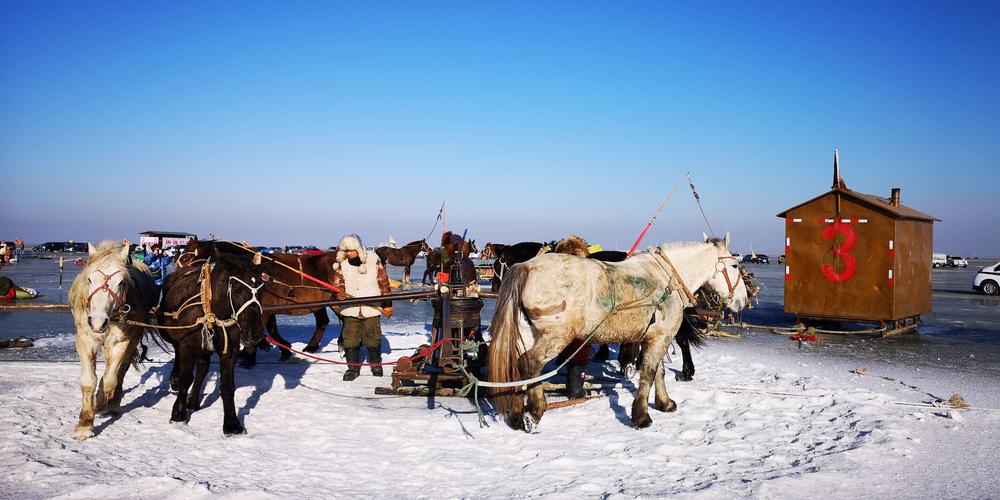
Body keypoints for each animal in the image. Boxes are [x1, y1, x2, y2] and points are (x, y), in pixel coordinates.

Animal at [70, 240, 158, 440]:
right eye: (90, 280)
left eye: (121, 282)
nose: (97, 322)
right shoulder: (85, 339)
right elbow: (88, 381)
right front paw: (85, 423)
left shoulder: (122, 341)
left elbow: (111, 379)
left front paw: (99, 402)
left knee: (121, 371)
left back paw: (113, 404)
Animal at [488, 234, 748, 430]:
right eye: (735, 265)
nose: (743, 300)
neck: (666, 278)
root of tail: (526, 266)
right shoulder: (661, 336)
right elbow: (649, 373)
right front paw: (641, 415)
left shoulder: (655, 336)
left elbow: (659, 372)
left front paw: (664, 403)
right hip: (556, 337)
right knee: (530, 363)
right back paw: (535, 410)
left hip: (528, 333)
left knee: (516, 363)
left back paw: (516, 411)